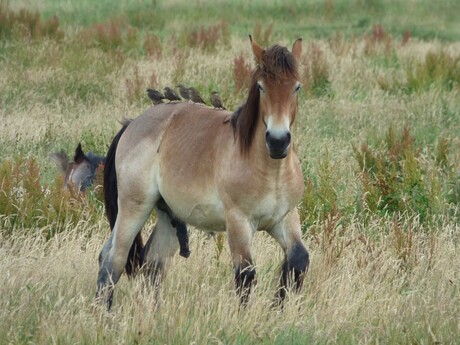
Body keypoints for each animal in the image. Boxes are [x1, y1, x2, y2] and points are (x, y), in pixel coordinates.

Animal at [97, 36, 310, 308]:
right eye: (261, 87)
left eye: (297, 87)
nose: (278, 141)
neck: (269, 171)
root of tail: (132, 124)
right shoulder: (238, 223)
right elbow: (245, 274)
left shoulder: (284, 217)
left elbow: (298, 261)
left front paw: (277, 310)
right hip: (134, 208)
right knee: (114, 259)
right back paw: (104, 312)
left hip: (166, 215)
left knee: (151, 264)